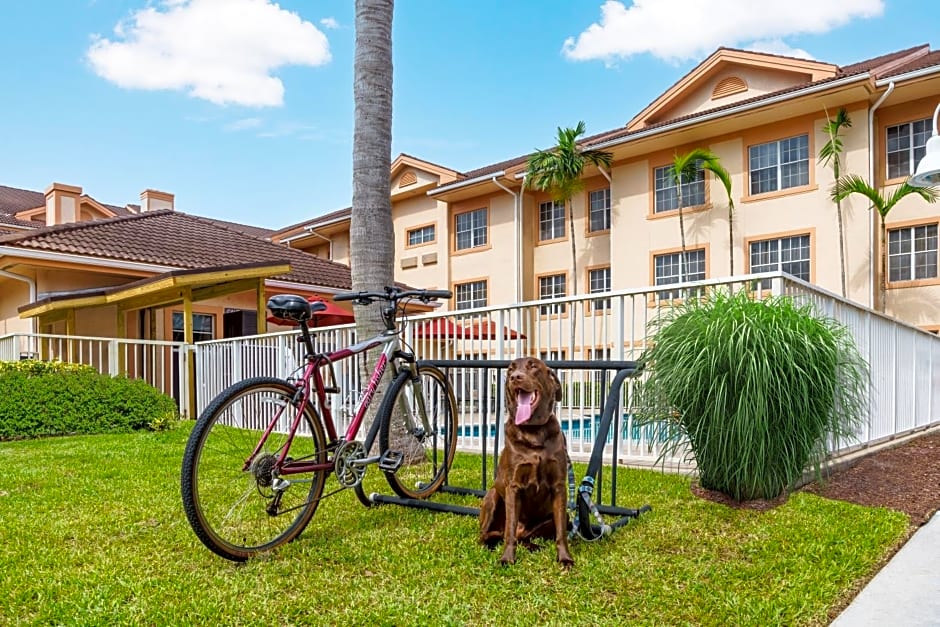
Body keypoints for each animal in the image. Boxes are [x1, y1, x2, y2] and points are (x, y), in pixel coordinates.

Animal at [478, 358, 572, 568]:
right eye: (510, 369)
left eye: (533, 366)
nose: (515, 377)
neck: (534, 431)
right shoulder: (513, 487)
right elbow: (510, 531)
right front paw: (506, 558)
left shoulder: (559, 486)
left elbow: (561, 532)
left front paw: (565, 558)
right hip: (492, 496)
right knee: (489, 534)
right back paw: (487, 544)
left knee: (525, 537)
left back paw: (534, 546)